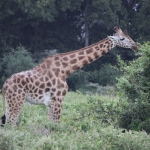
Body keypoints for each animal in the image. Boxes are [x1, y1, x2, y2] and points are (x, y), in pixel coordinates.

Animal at [0, 27, 137, 125]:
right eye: (122, 38)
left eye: (129, 36)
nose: (135, 45)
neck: (66, 70)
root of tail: (5, 85)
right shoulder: (58, 100)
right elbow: (55, 127)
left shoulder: (51, 103)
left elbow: (49, 126)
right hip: (17, 101)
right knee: (11, 124)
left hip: (9, 102)